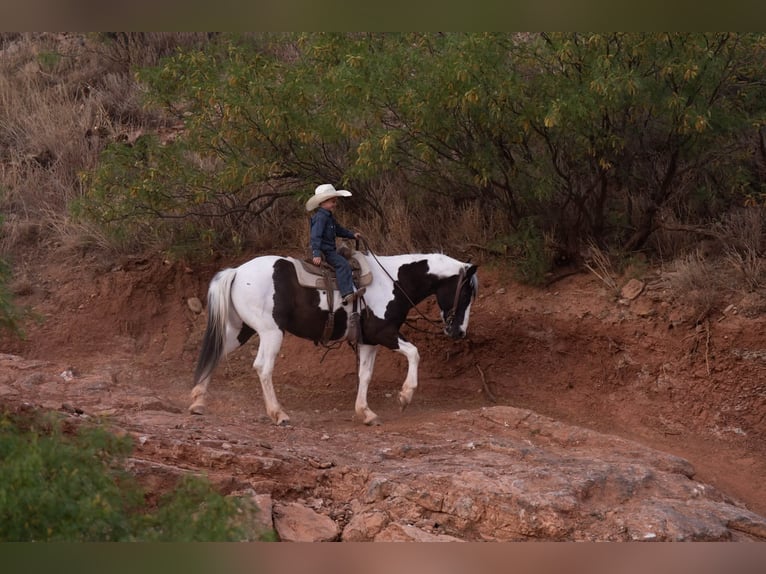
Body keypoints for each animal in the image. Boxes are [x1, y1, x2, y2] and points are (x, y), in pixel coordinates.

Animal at [189, 250, 479, 425]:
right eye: (466, 294)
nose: (458, 331)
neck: (394, 282)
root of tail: (237, 271)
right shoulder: (384, 333)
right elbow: (414, 353)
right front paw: (405, 396)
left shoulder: (368, 341)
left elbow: (365, 375)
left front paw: (366, 412)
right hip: (271, 332)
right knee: (263, 367)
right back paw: (278, 413)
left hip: (241, 330)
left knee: (216, 353)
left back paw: (198, 401)